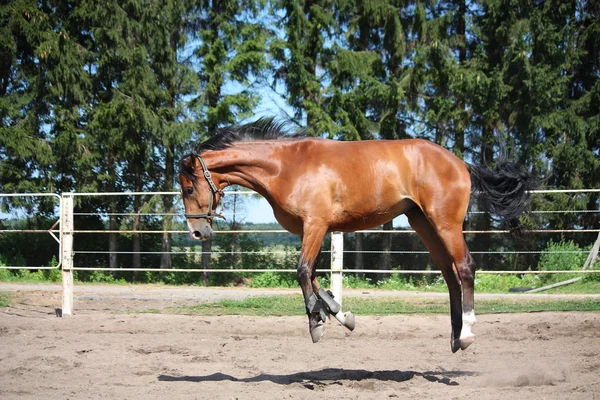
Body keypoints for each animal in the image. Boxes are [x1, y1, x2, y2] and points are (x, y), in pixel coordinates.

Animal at [177, 119, 536, 354]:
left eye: (189, 187)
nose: (197, 232)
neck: (286, 166)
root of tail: (462, 163)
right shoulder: (313, 229)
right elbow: (315, 277)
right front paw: (341, 316)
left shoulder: (316, 224)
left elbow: (303, 271)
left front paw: (317, 324)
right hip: (423, 223)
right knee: (449, 275)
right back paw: (454, 336)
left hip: (445, 223)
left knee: (465, 268)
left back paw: (468, 333)